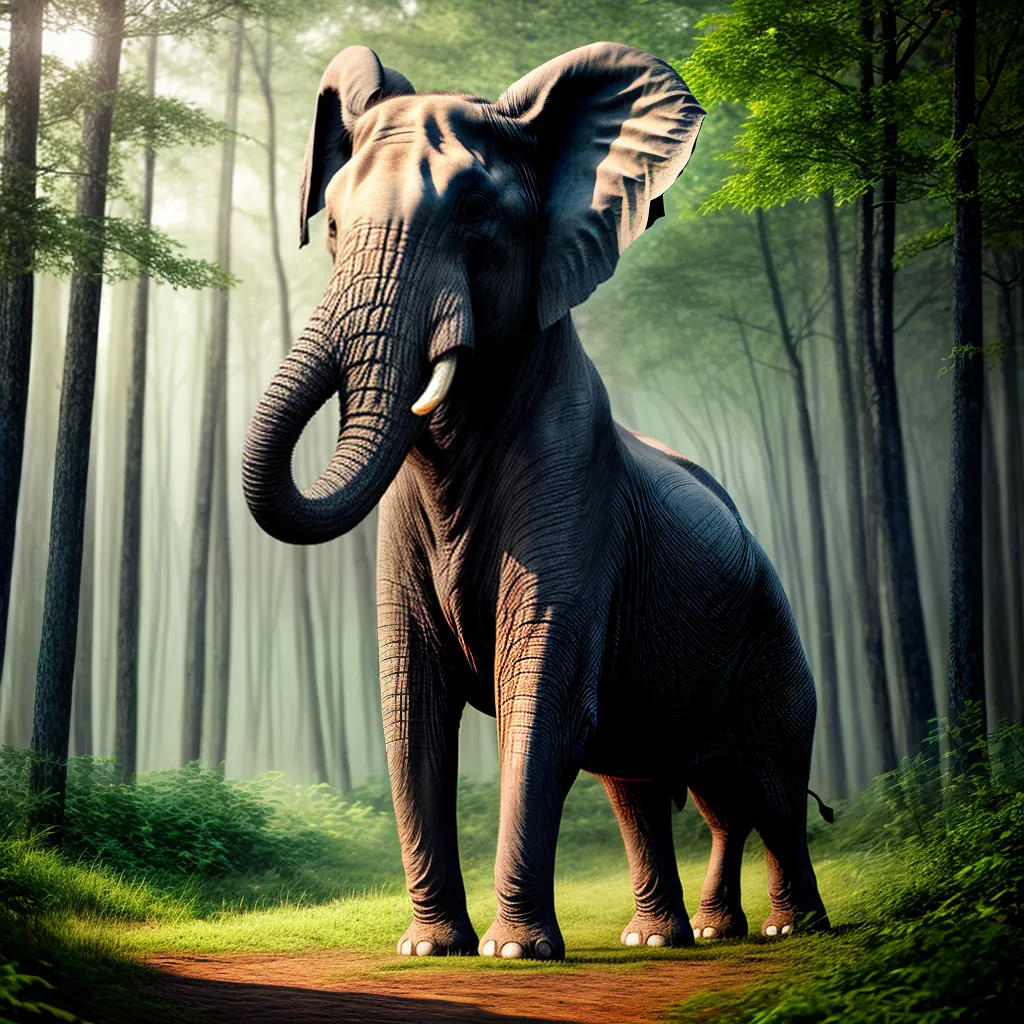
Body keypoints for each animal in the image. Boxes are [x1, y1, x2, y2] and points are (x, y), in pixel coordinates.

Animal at [242, 41, 830, 961]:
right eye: (330, 224)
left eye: (476, 215)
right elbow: (412, 702)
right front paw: (430, 949)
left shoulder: (577, 494)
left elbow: (540, 691)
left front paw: (511, 951)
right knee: (656, 786)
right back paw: (669, 939)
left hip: (773, 639)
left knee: (766, 784)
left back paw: (785, 929)